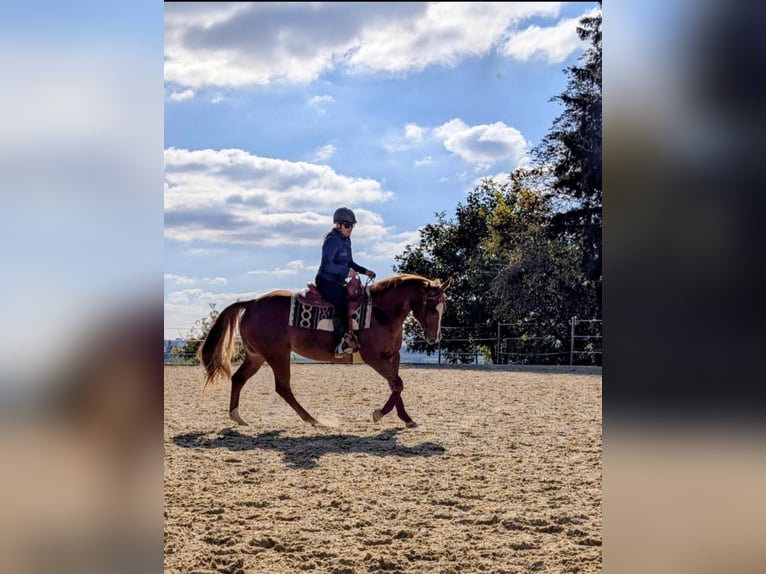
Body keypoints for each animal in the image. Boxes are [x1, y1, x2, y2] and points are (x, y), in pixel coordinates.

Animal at [199, 273, 452, 428]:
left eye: (444, 306)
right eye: (431, 306)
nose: (434, 338)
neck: (382, 312)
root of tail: (251, 303)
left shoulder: (393, 356)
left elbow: (395, 385)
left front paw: (405, 418)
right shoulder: (373, 357)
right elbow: (397, 383)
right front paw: (379, 414)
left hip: (257, 356)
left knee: (239, 379)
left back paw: (238, 417)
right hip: (277, 354)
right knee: (283, 387)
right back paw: (312, 419)